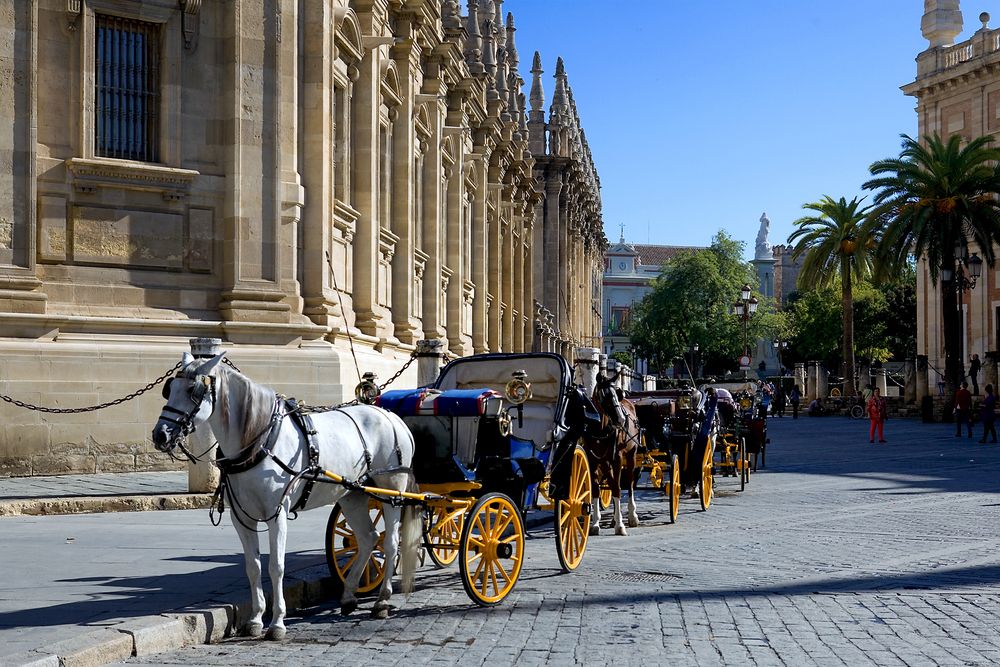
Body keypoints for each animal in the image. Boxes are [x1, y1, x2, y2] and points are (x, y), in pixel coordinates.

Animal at [149, 352, 422, 640]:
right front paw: (255, 619)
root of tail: (391, 416)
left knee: (390, 542)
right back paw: (348, 596)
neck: (259, 442)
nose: (160, 434)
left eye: (193, 391)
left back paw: (382, 600)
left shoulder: (276, 514)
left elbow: (276, 566)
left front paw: (277, 622)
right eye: (169, 389)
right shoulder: (241, 517)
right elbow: (253, 566)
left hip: (391, 491)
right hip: (353, 494)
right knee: (368, 538)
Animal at [584, 376, 640, 536]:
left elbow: (617, 488)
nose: (621, 420)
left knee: (630, 483)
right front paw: (595, 523)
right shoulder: (594, 459)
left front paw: (620, 525)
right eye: (605, 396)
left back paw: (632, 516)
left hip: (631, 455)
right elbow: (597, 489)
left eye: (616, 393)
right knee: (614, 482)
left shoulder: (617, 458)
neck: (599, 430)